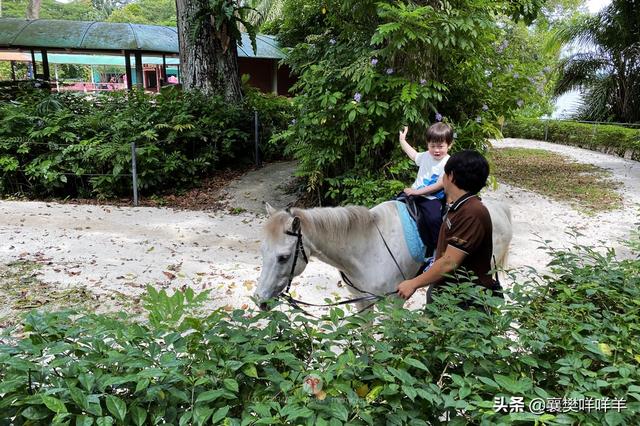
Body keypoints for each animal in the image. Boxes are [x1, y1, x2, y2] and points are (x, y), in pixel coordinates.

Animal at [254, 200, 510, 310]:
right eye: (263, 252)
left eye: (283, 257)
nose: (259, 300)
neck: (367, 247)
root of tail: (499, 208)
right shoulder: (361, 302)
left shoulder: (391, 304)